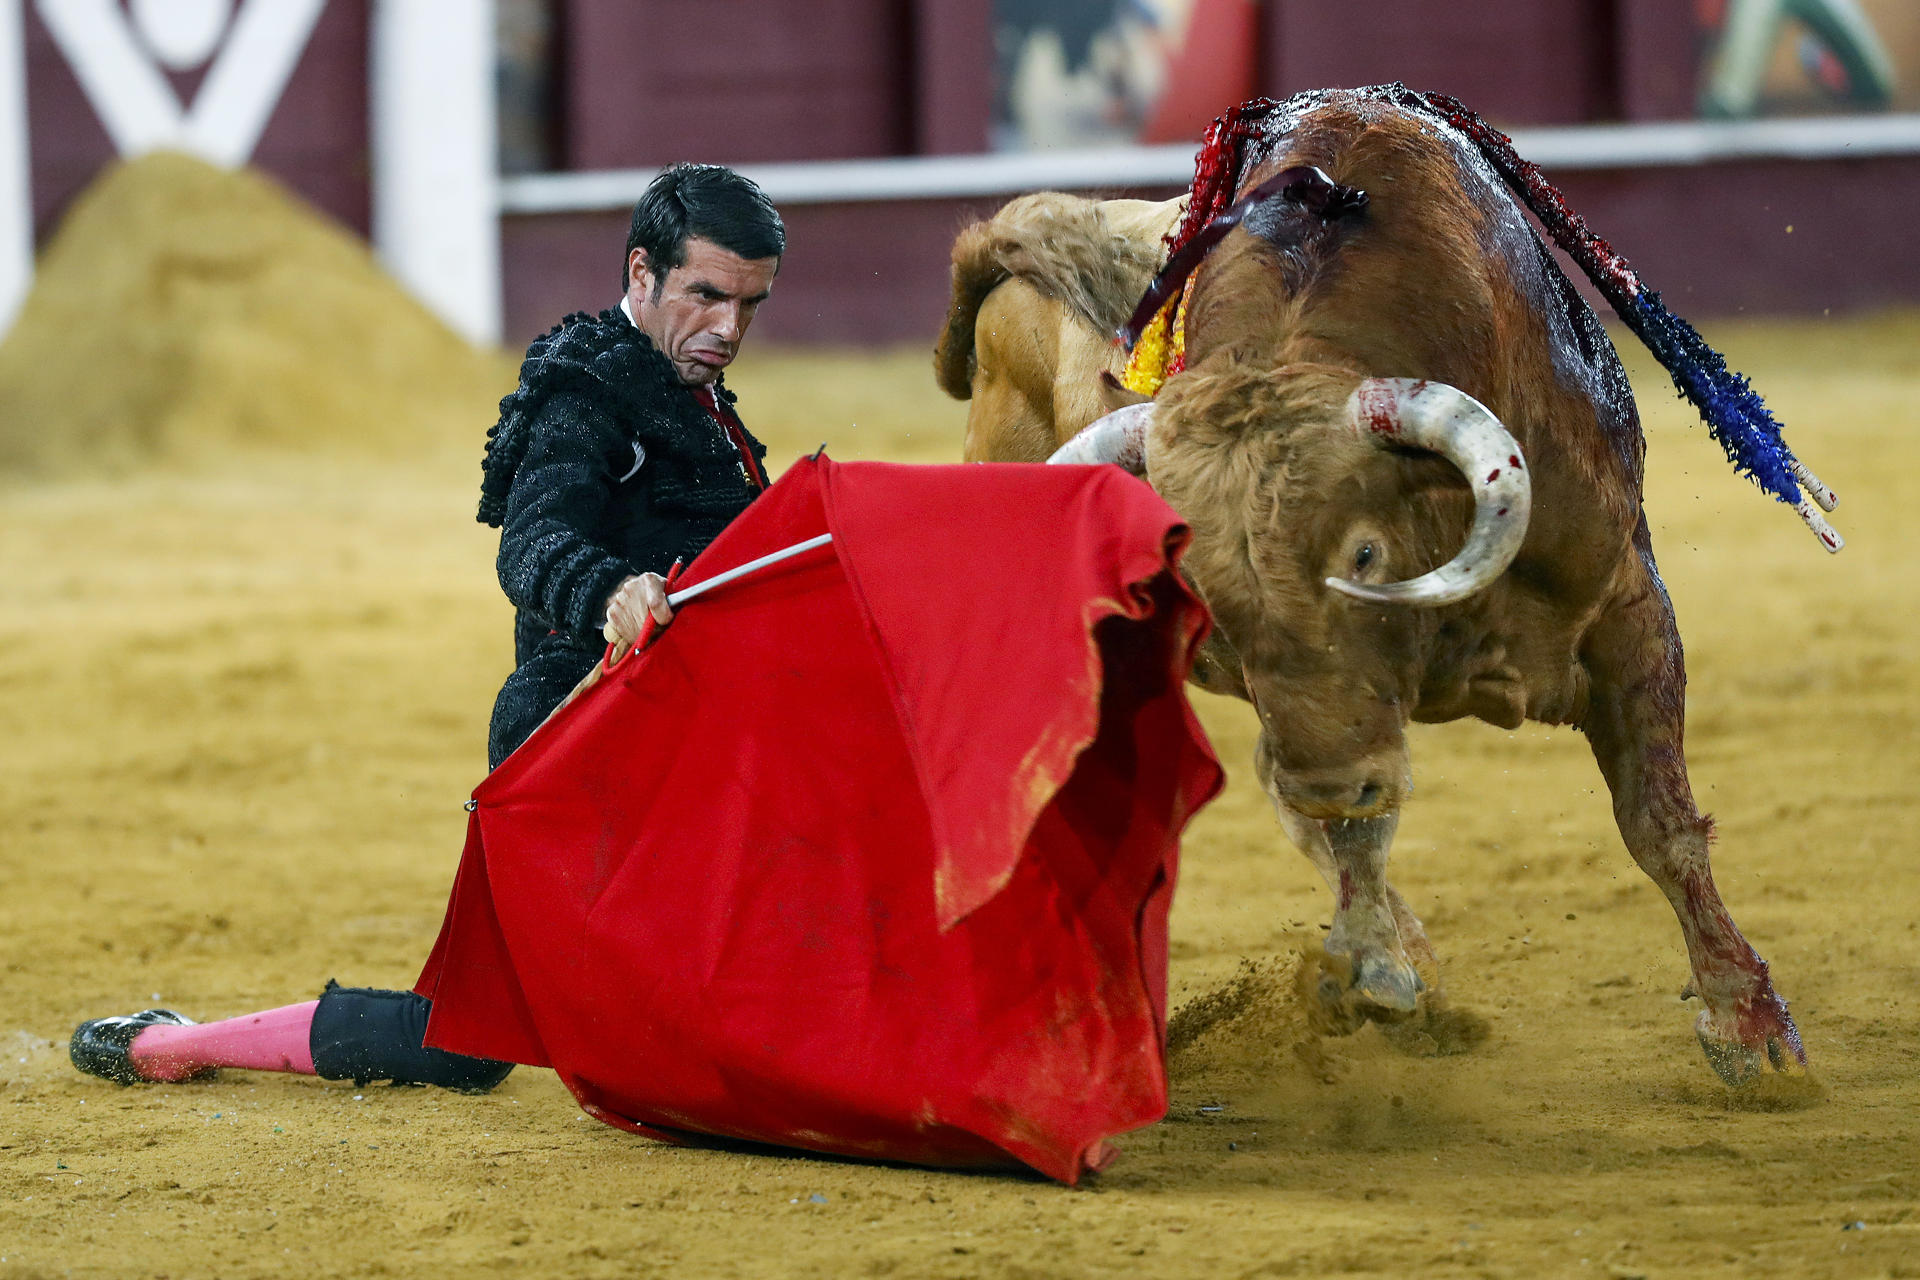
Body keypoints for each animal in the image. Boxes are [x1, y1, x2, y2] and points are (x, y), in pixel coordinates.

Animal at [933, 84, 1843, 1090]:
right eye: (1204, 591)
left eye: (1364, 555)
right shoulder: (1321, 714)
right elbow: (1350, 822)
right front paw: (1377, 971)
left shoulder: (1626, 609)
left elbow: (1660, 821)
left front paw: (1753, 1030)